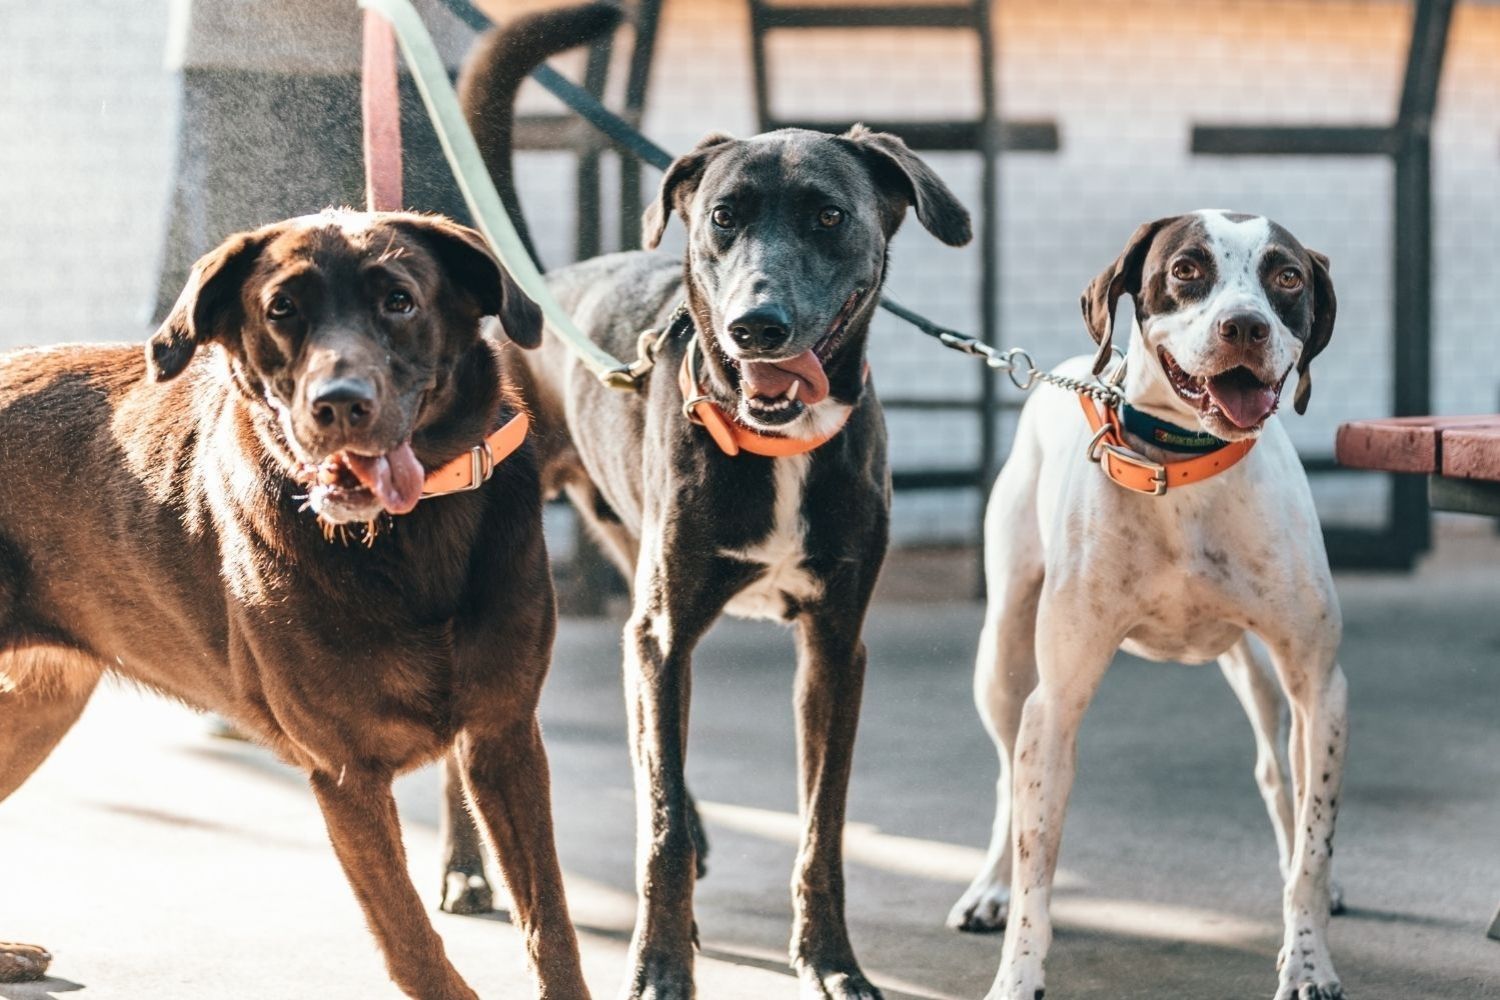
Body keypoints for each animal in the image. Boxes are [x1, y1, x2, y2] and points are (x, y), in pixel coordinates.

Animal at [0, 209, 588, 1000]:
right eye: (281, 310)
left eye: (399, 301)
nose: (339, 404)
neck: (404, 538)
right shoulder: (346, 774)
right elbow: (412, 945)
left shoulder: (504, 737)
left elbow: (549, 925)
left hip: (40, 705)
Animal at [453, 9, 972, 1000]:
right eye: (723, 218)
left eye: (830, 215)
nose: (755, 327)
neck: (779, 442)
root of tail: (534, 300)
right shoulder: (661, 632)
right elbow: (651, 824)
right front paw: (658, 965)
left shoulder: (833, 645)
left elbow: (821, 829)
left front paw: (831, 959)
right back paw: (465, 869)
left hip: (637, 567)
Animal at [954, 211, 1356, 1000]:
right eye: (1186, 269)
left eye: (1287, 276)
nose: (1244, 327)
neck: (1184, 468)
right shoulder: (1056, 701)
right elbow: (1037, 859)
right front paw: (1017, 975)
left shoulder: (1320, 688)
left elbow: (1315, 840)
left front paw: (1308, 960)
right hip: (1002, 660)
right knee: (1004, 778)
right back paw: (989, 885)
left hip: (1260, 673)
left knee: (1280, 777)